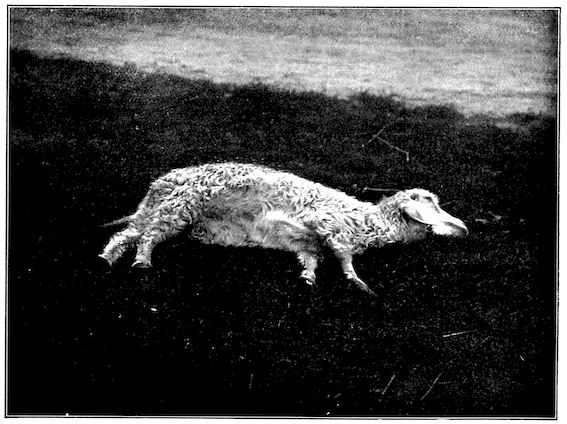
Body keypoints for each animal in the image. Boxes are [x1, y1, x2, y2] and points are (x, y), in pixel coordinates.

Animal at [99, 162, 468, 295]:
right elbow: (345, 258)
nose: (464, 229)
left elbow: (311, 260)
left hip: (164, 211)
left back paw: (106, 259)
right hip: (178, 209)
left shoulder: (308, 243)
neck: (369, 219)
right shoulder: (331, 228)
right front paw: (360, 284)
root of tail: (164, 180)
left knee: (126, 234)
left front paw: (308, 279)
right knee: (146, 237)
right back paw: (142, 262)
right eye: (432, 203)